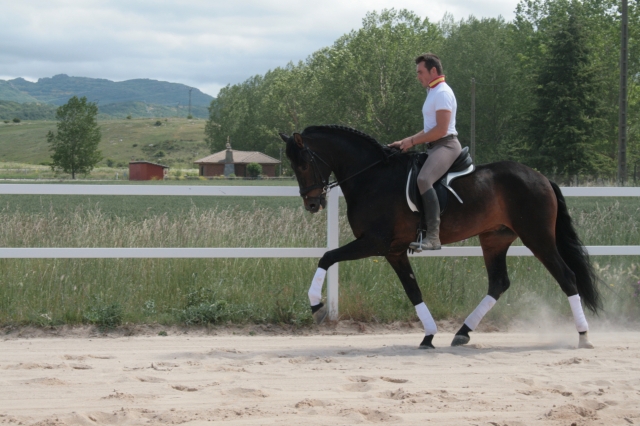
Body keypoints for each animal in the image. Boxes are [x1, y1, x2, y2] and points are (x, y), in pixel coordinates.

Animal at [279, 125, 601, 349]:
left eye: (303, 163)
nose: (312, 204)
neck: (372, 177)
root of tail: (541, 177)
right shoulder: (393, 251)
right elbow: (413, 291)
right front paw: (429, 335)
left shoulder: (374, 242)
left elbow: (327, 256)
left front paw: (317, 307)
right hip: (494, 239)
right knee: (498, 283)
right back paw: (462, 333)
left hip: (537, 237)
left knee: (567, 277)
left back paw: (584, 336)